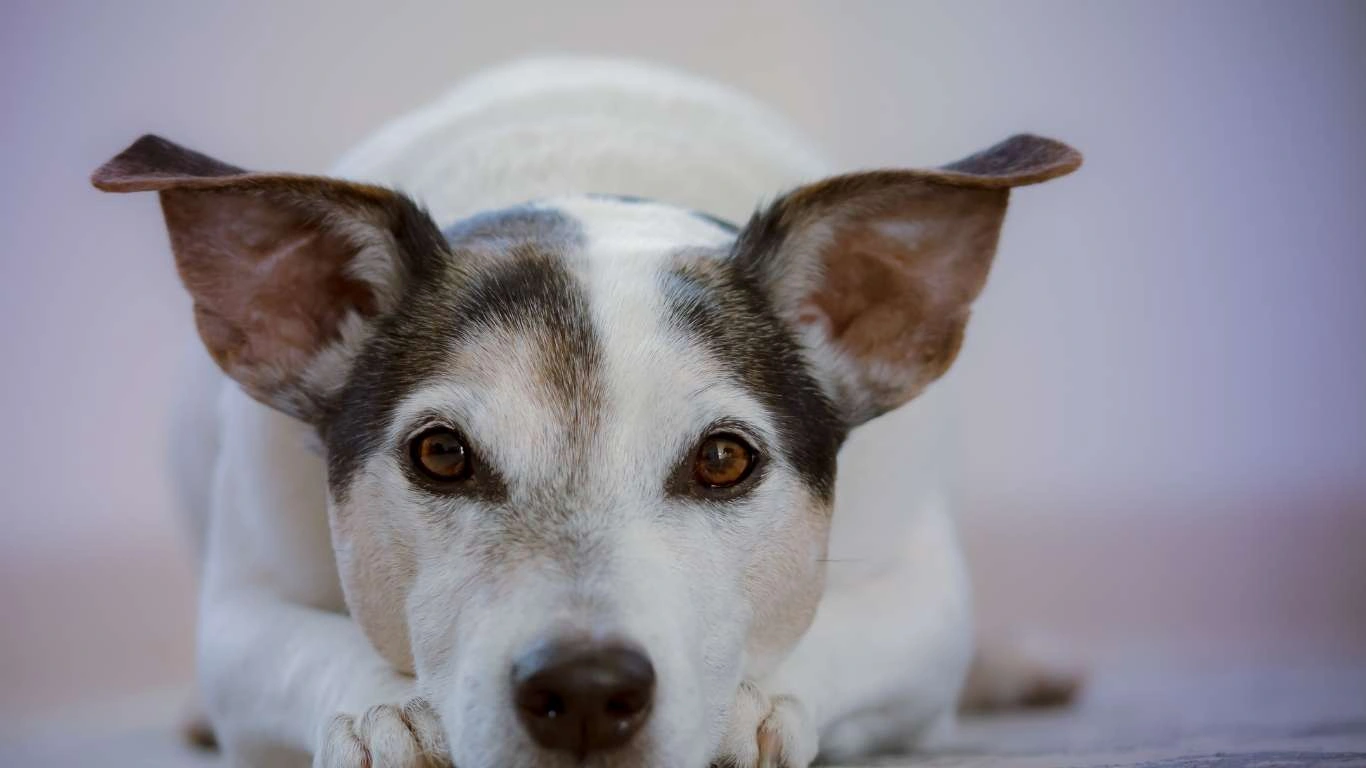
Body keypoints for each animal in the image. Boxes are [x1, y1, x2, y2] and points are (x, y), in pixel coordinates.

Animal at [90, 56, 1081, 759]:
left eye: (724, 459)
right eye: (440, 454)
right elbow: (301, 648)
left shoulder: (924, 596)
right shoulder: (241, 608)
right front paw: (388, 711)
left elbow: (841, 635)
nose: (589, 691)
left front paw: (751, 707)